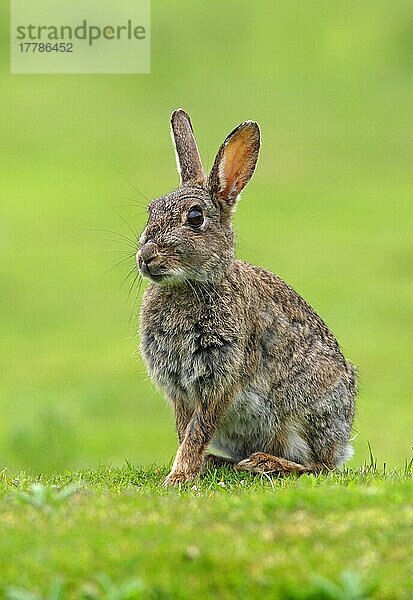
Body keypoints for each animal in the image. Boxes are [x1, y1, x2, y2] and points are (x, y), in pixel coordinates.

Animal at [138, 109, 354, 488]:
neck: (192, 285)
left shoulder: (220, 380)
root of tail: (344, 442)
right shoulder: (179, 390)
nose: (145, 257)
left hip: (303, 412)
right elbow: (184, 430)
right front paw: (188, 469)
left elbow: (197, 430)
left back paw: (263, 463)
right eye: (151, 210)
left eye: (195, 218)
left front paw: (179, 476)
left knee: (319, 466)